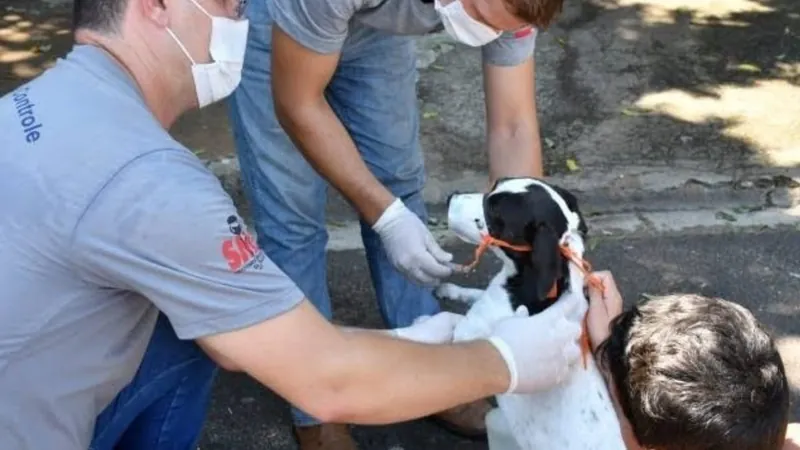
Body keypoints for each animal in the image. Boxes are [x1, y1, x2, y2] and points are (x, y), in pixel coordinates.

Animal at [438, 177, 624, 450]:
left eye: (494, 212)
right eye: (494, 185)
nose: (450, 197)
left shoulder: (468, 331)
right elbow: (473, 294)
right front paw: (450, 289)